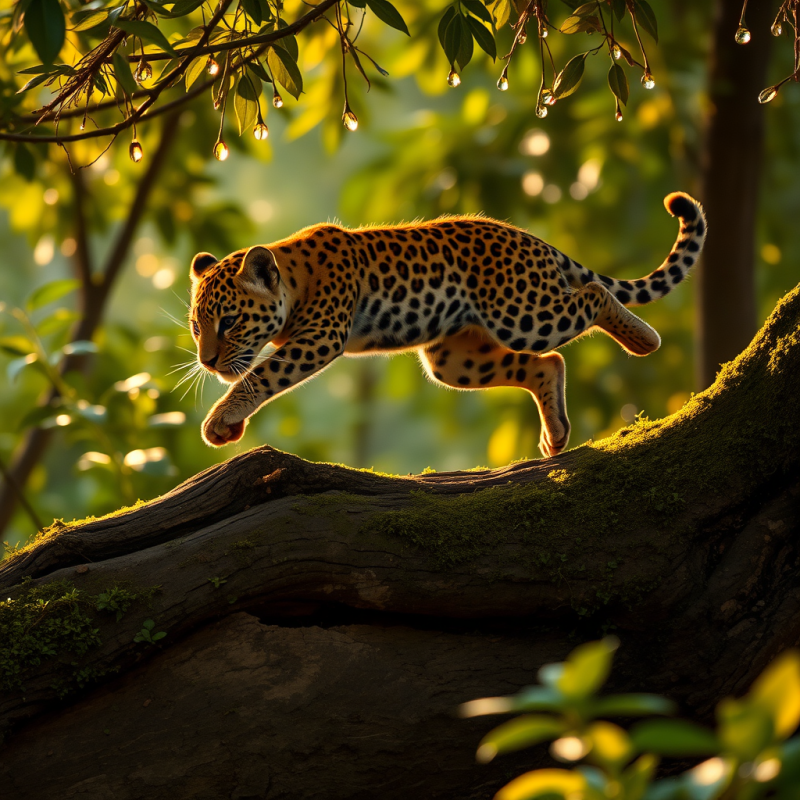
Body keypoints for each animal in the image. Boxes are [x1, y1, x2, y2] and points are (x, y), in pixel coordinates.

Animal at [188, 192, 706, 458]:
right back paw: (556, 434)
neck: (292, 277)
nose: (207, 361)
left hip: (523, 312)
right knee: (549, 362)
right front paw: (228, 427)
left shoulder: (320, 335)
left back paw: (644, 340)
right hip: (453, 359)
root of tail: (533, 240)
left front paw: (220, 419)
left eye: (230, 321)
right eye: (197, 327)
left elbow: (262, 374)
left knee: (595, 294)